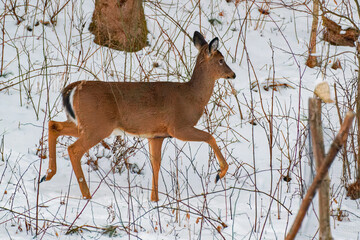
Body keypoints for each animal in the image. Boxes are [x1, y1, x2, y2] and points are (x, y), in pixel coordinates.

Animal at [41, 31, 236, 202]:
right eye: (221, 60)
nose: (232, 74)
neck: (192, 97)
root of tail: (72, 88)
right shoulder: (178, 127)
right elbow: (210, 136)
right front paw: (220, 173)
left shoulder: (156, 135)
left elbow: (155, 163)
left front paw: (154, 200)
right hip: (98, 126)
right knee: (73, 149)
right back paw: (86, 194)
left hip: (84, 124)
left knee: (53, 124)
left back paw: (47, 175)